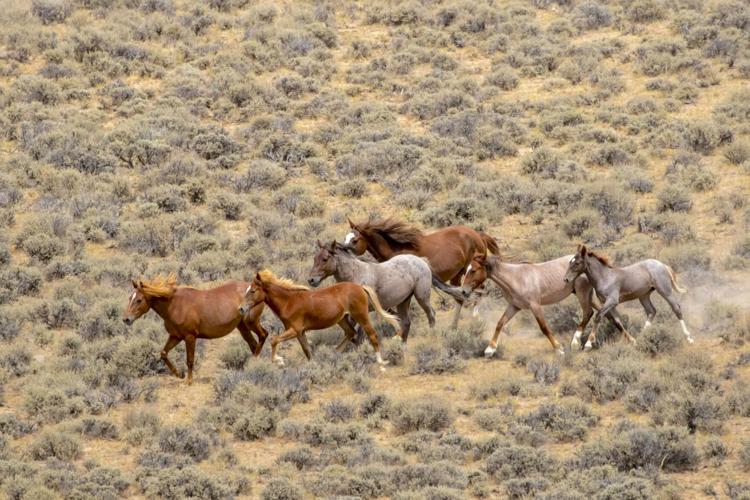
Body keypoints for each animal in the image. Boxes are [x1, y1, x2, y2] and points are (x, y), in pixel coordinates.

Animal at [122, 274, 268, 384]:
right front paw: (179, 374)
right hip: (242, 327)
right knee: (253, 344)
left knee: (263, 335)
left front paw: (189, 381)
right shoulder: (176, 336)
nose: (126, 319)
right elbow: (163, 353)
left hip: (251, 322)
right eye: (130, 298)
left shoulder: (190, 337)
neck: (174, 305)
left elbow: (190, 360)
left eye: (139, 300)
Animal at [239, 270, 400, 371]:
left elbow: (274, 340)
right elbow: (307, 351)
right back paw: (334, 353)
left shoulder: (295, 330)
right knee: (351, 333)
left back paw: (381, 363)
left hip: (361, 315)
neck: (288, 302)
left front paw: (279, 361)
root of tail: (360, 287)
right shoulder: (300, 333)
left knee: (371, 335)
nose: (241, 308)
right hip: (341, 319)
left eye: (252, 291)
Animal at [307, 240, 435, 342]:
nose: (311, 280)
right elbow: (350, 333)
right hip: (403, 302)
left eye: (325, 259)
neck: (356, 274)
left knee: (431, 314)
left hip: (421, 297)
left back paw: (432, 336)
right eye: (314, 258)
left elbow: (359, 333)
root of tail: (421, 260)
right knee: (406, 322)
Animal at [343, 217, 499, 329]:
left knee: (473, 292)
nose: (342, 250)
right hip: (458, 275)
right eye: (345, 237)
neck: (397, 250)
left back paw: (469, 319)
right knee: (463, 295)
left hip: (470, 272)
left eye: (355, 240)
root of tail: (478, 235)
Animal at [564, 244, 693, 351]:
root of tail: (663, 265)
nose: (566, 279)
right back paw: (641, 338)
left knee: (676, 308)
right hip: (644, 295)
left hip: (665, 291)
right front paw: (633, 341)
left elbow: (598, 316)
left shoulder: (612, 301)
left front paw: (588, 344)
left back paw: (689, 338)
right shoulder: (608, 304)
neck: (605, 277)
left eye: (577, 263)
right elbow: (617, 322)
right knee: (652, 311)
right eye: (570, 262)